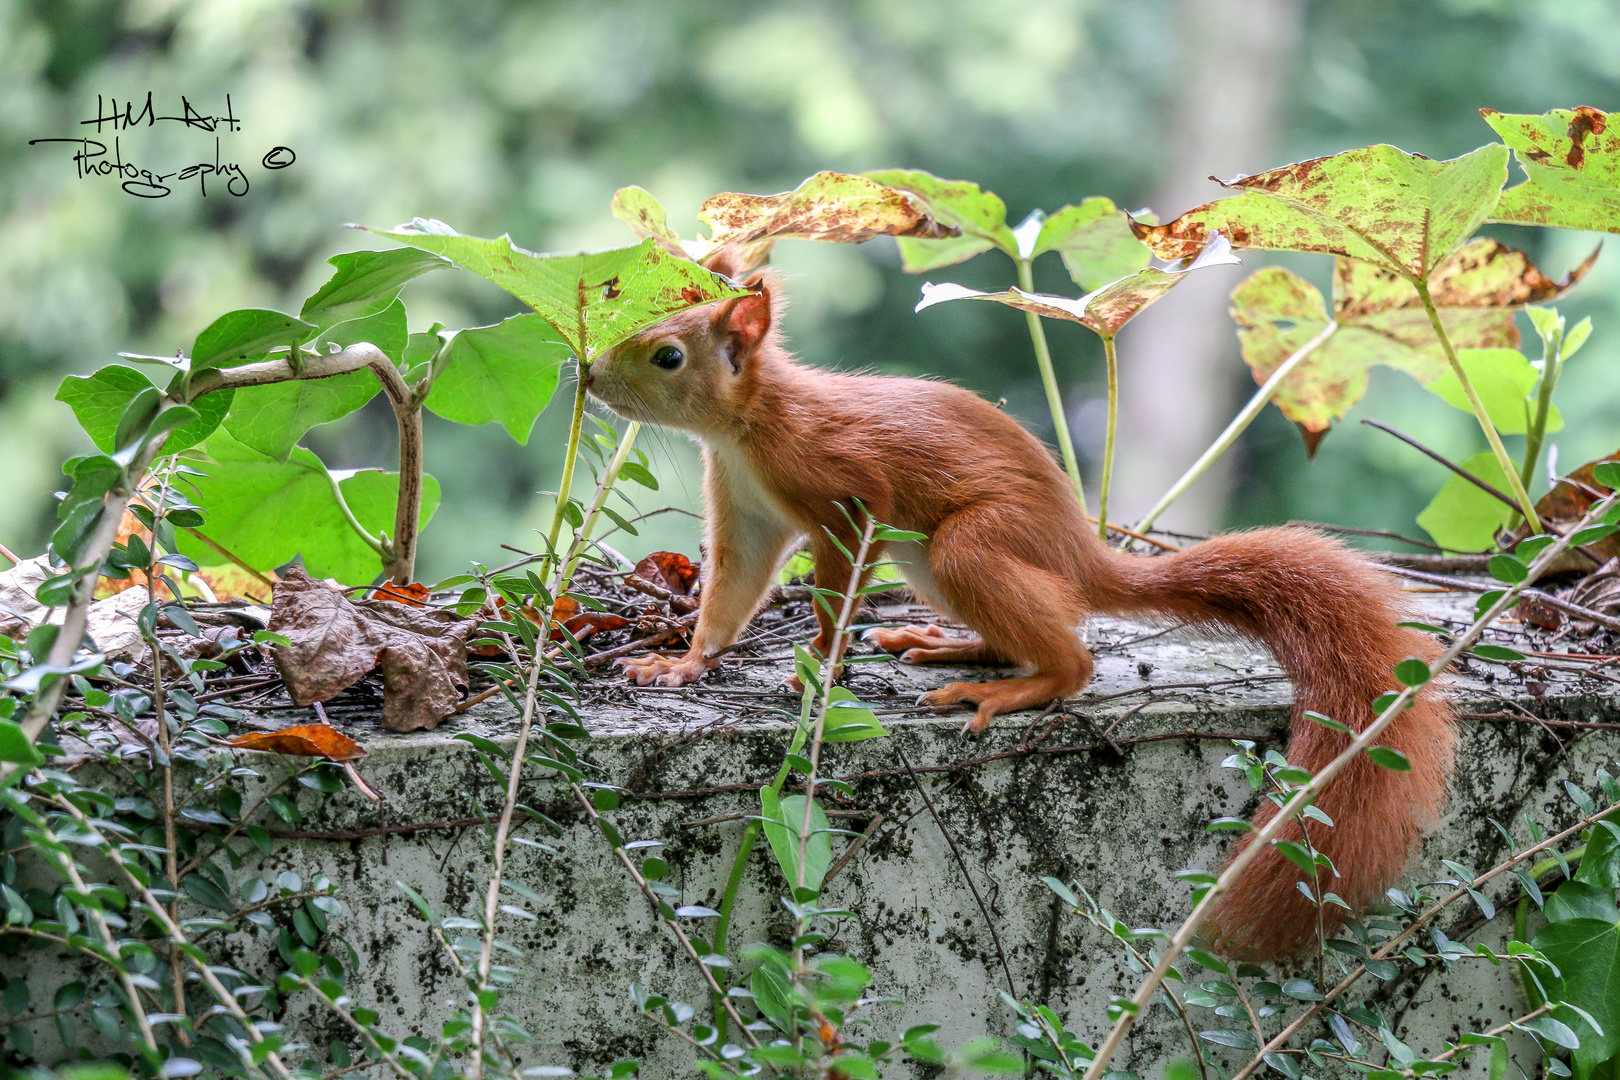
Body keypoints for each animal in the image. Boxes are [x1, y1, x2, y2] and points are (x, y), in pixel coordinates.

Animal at [583, 255, 1458, 965]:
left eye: (668, 355)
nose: (588, 376)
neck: (751, 422)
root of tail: (1081, 554)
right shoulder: (748, 510)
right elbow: (731, 590)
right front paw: (682, 663)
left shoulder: (848, 493)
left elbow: (835, 581)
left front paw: (820, 669)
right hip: (934, 567)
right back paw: (953, 649)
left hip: (967, 547)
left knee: (1074, 660)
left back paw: (1006, 689)